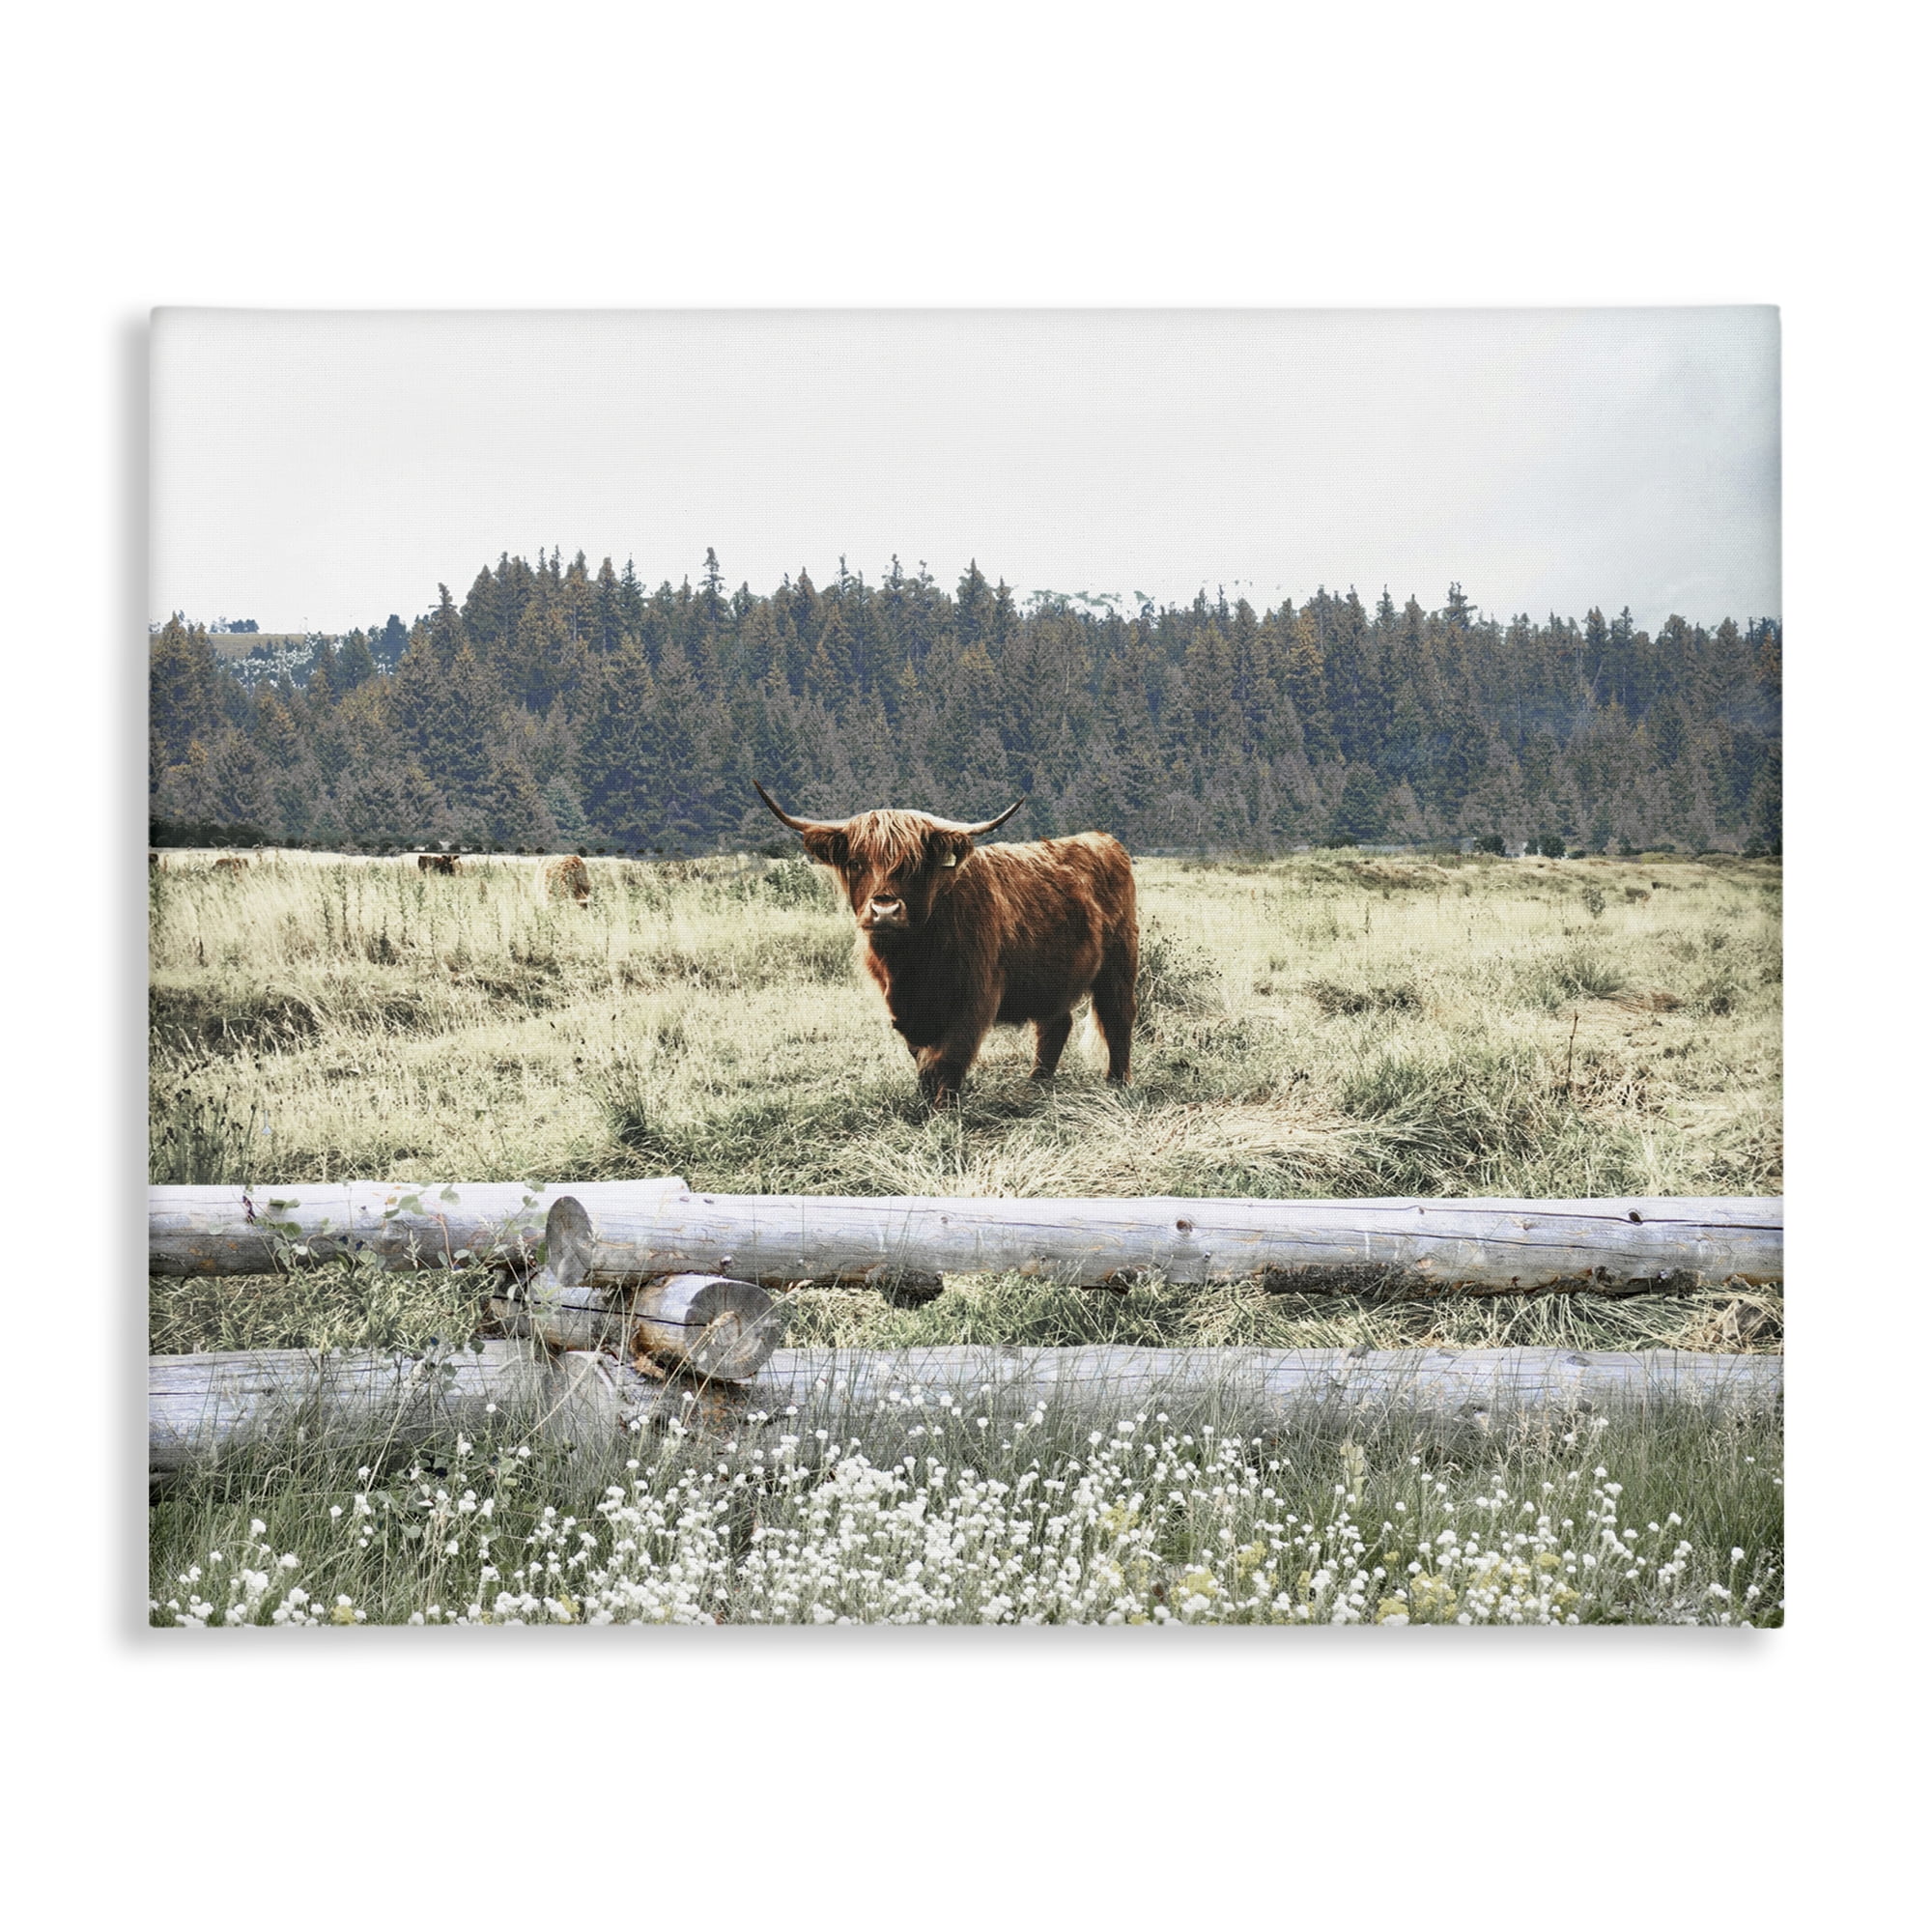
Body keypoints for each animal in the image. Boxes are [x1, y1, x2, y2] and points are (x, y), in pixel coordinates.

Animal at [753, 782, 1138, 1107]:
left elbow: (949, 1057)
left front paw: (944, 1109)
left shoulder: (974, 997)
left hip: (1119, 964)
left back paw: (1116, 1083)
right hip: (1051, 976)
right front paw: (925, 1101)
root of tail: (1103, 840)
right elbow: (922, 1057)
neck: (911, 961)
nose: (885, 910)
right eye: (856, 862)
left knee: (1117, 1017)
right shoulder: (904, 1007)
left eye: (913, 865)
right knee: (1055, 1024)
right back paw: (1037, 1083)